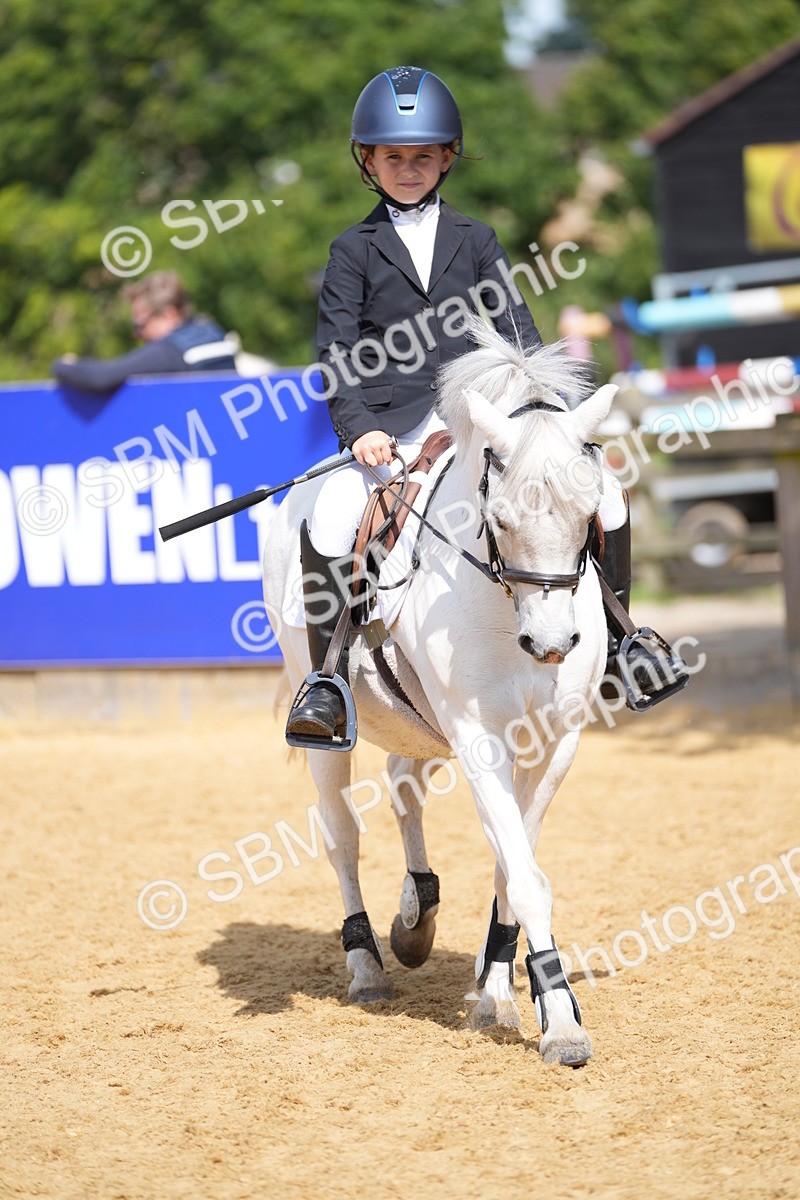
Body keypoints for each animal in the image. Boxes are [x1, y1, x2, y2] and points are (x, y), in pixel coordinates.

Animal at [262, 315, 617, 1067]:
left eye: (588, 515)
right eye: (500, 517)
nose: (551, 644)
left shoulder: (554, 742)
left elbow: (514, 865)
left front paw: (498, 992)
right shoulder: (480, 738)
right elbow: (524, 873)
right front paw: (561, 1025)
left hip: (420, 723)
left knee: (403, 784)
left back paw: (415, 918)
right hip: (330, 730)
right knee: (342, 836)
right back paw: (368, 964)